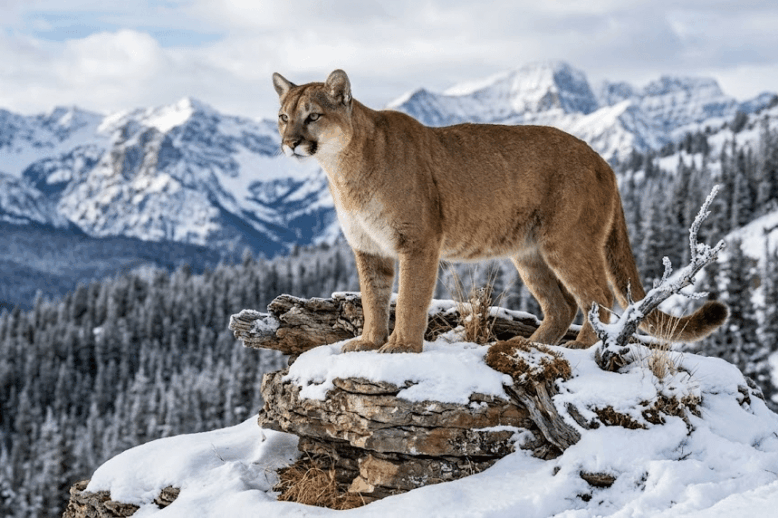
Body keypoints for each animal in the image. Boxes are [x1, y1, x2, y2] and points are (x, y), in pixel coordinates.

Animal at [271, 69, 727, 353]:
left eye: (313, 116)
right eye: (283, 116)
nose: (290, 143)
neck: (343, 170)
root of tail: (604, 161)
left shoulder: (418, 243)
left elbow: (412, 297)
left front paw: (401, 347)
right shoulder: (369, 249)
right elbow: (373, 298)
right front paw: (368, 341)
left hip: (566, 241)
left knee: (597, 298)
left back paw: (581, 345)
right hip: (529, 252)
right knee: (561, 305)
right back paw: (528, 343)